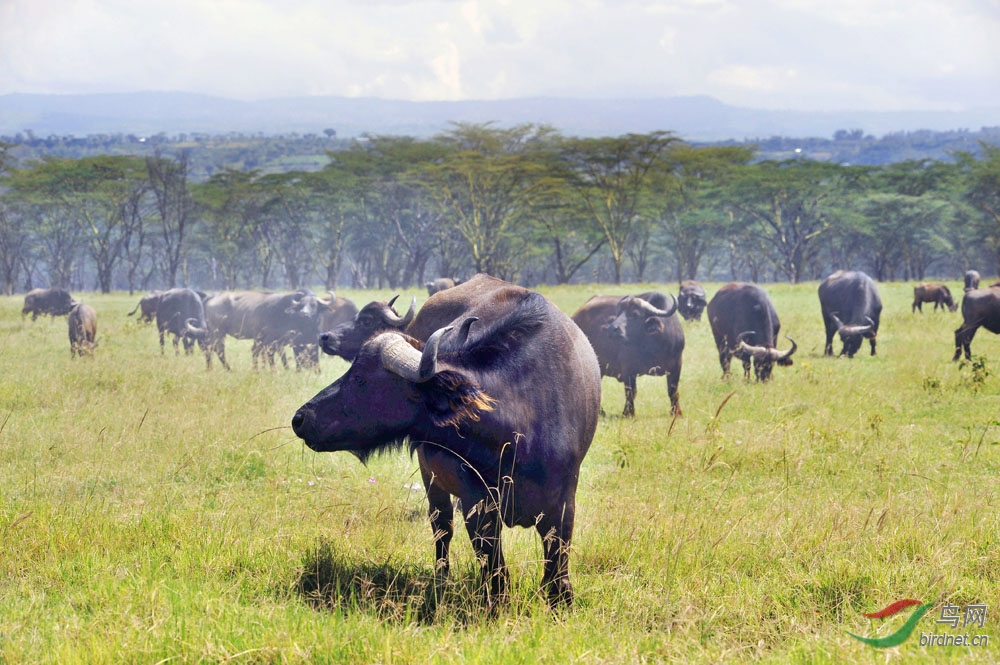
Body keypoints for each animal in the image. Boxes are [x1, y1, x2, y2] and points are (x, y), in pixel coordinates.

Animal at [292, 274, 600, 608]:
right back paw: (441, 579)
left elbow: (557, 568)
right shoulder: (477, 503)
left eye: (361, 379)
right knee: (442, 530)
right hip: (432, 481)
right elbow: (495, 571)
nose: (300, 418)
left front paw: (560, 603)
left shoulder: (563, 501)